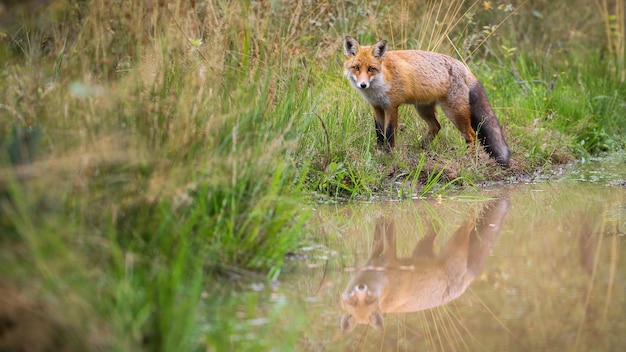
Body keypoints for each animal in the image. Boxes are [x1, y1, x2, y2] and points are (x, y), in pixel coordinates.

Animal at [342, 198, 508, 332]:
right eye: (354, 302)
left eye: (369, 301)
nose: (361, 287)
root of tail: (465, 285)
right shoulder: (374, 257)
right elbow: (377, 238)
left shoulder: (390, 259)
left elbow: (387, 232)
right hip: (421, 249)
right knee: (436, 227)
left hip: (455, 243)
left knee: (469, 223)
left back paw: (470, 212)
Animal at [344, 36, 510, 168]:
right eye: (356, 68)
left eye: (371, 69)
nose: (363, 85)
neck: (381, 80)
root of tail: (464, 66)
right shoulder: (376, 107)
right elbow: (379, 133)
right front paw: (379, 153)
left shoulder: (391, 107)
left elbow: (390, 134)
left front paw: (389, 156)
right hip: (423, 109)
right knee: (436, 127)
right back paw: (421, 147)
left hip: (454, 112)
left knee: (471, 135)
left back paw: (469, 159)